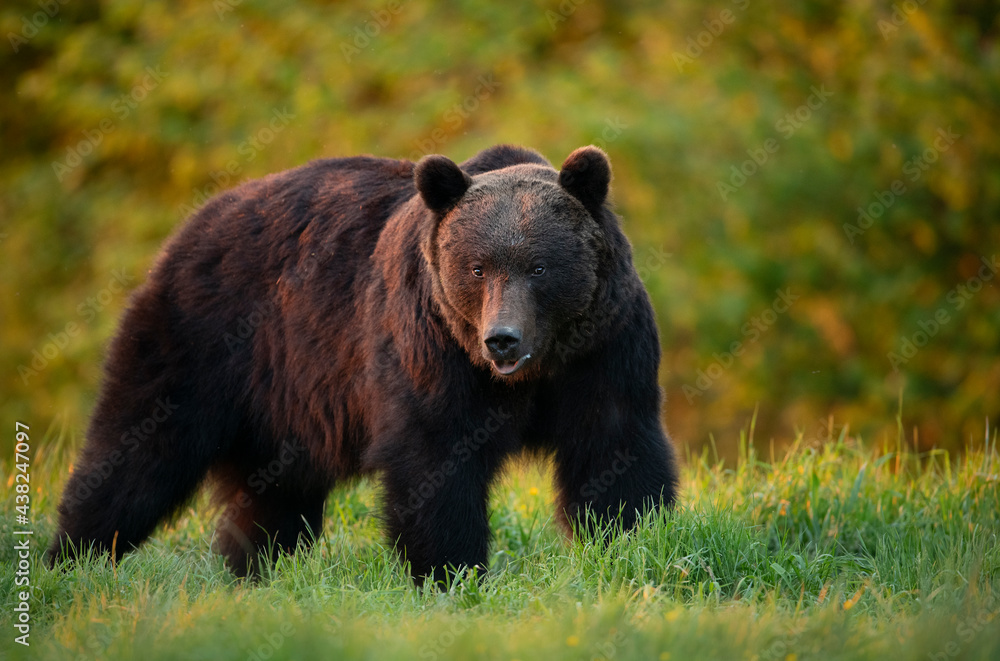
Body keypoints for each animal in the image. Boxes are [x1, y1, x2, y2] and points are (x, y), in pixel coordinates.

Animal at [50, 143, 684, 584]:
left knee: (272, 498)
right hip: (204, 340)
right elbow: (435, 456)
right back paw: (74, 556)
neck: (537, 369)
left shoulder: (604, 349)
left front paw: (630, 543)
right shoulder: (432, 347)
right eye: (477, 267)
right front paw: (450, 572)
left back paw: (253, 570)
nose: (501, 339)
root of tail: (195, 223)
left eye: (540, 267)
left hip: (281, 405)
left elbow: (614, 449)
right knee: (138, 452)